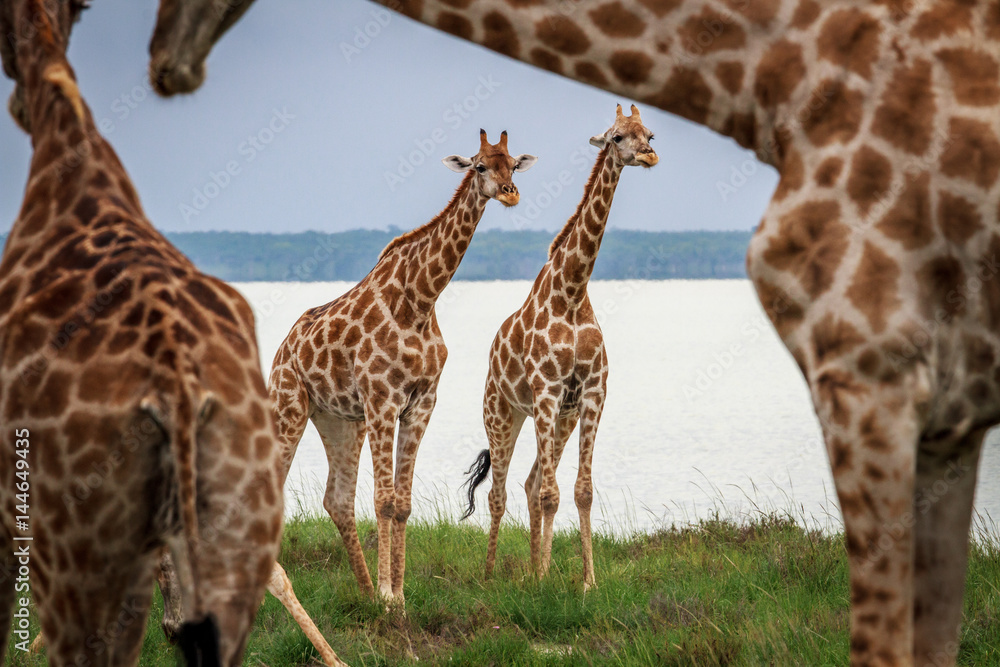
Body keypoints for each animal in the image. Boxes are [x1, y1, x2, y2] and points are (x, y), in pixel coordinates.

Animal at [268, 130, 536, 603]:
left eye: (512, 164)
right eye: (480, 165)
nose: (510, 193)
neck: (420, 300)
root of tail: (282, 351)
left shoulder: (421, 403)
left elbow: (403, 503)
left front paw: (397, 592)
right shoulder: (382, 400)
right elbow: (385, 500)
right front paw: (389, 598)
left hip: (338, 420)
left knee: (337, 498)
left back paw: (362, 587)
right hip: (290, 408)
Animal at [461, 104, 657, 592]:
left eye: (649, 133)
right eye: (616, 137)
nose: (649, 156)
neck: (571, 292)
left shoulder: (591, 394)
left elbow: (579, 491)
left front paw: (585, 582)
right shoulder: (547, 391)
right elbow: (551, 493)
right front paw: (549, 580)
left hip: (557, 419)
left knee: (531, 484)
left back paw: (535, 568)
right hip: (503, 414)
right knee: (500, 491)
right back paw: (491, 574)